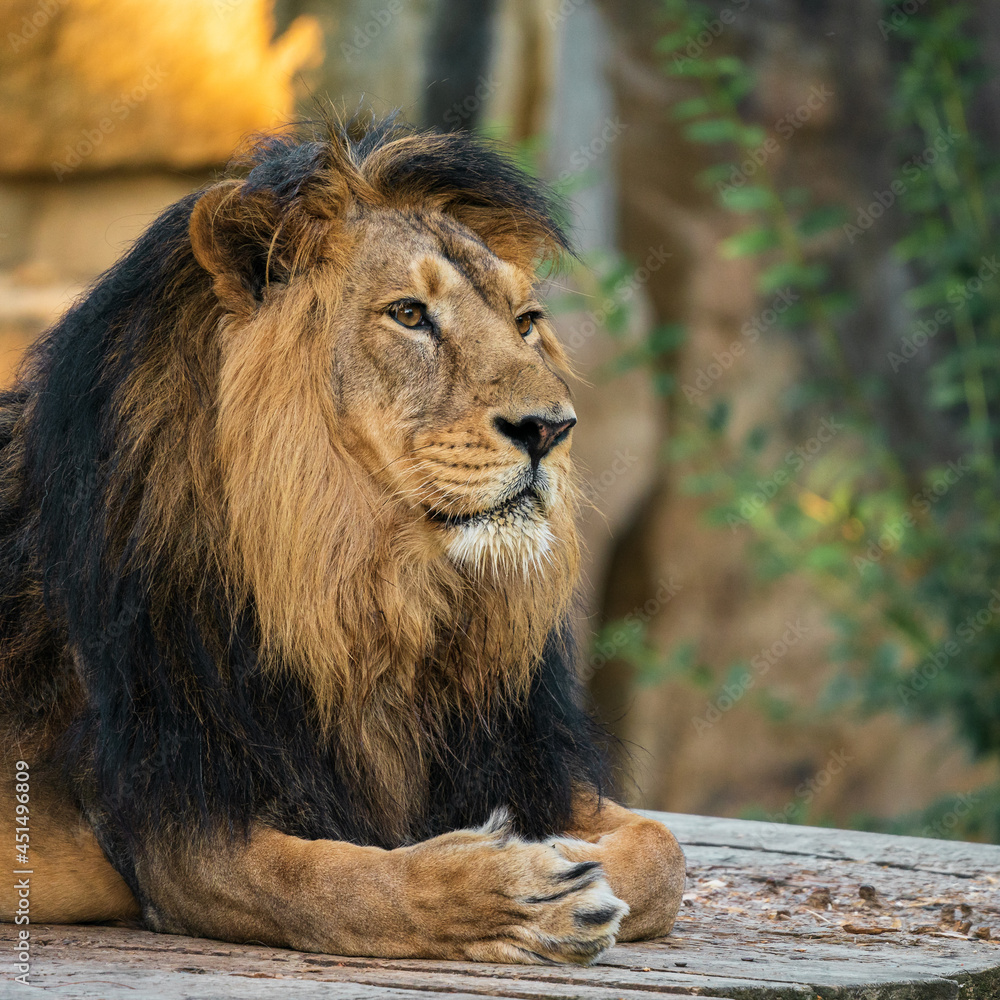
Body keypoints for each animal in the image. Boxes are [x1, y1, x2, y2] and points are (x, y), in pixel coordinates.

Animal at [0, 118, 685, 965]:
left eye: (526, 323)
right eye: (410, 315)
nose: (551, 429)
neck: (372, 586)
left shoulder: (524, 761)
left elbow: (664, 853)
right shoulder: (179, 828)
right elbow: (344, 884)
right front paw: (520, 894)